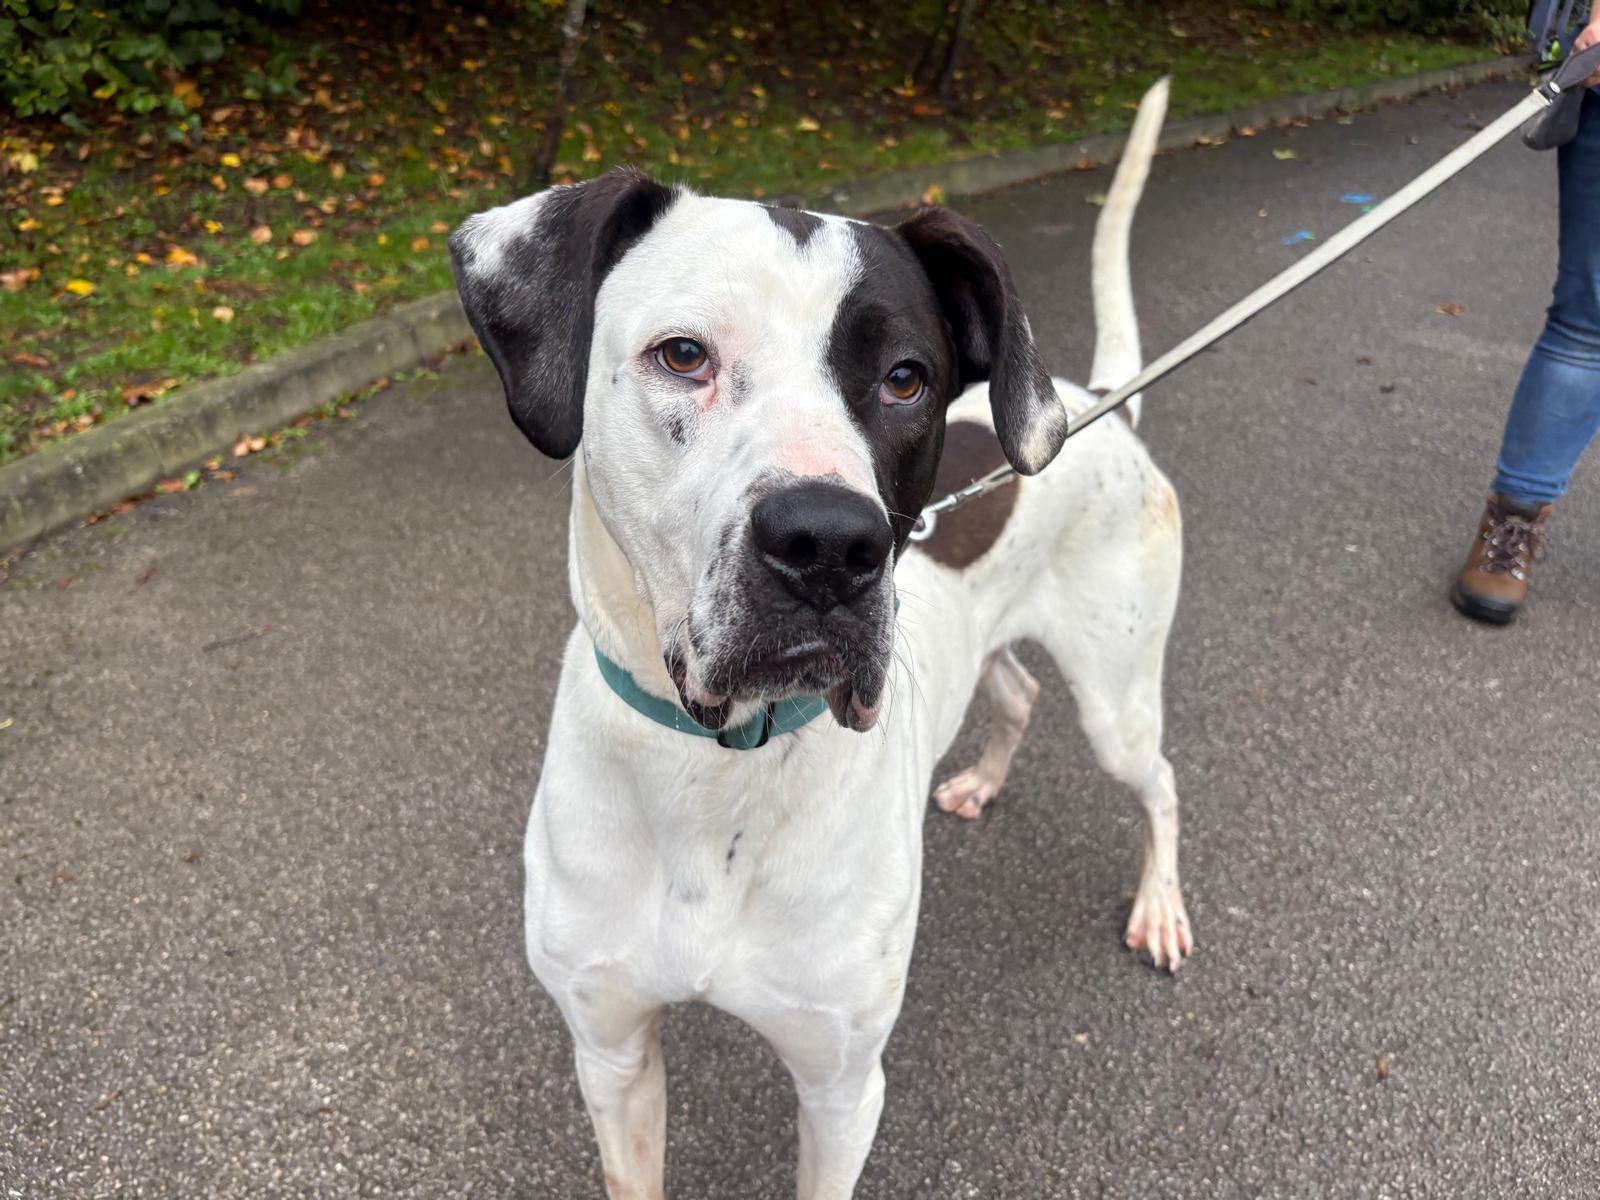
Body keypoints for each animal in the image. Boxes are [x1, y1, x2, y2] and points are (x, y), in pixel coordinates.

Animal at [450, 78, 1187, 1200]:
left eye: (906, 377)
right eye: (682, 355)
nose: (833, 545)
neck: (713, 775)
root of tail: (1097, 407)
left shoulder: (842, 1087)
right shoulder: (611, 1054)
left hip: (1117, 699)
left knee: (1159, 782)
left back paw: (1159, 905)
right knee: (1015, 692)